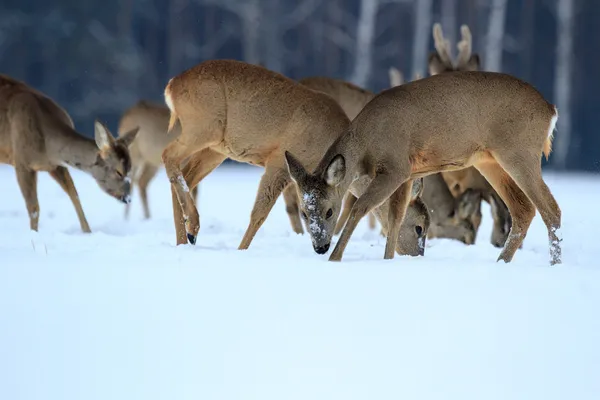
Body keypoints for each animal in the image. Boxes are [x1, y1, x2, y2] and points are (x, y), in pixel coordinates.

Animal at [0, 73, 137, 233]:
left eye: (130, 169)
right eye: (119, 171)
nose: (128, 198)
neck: (48, 146)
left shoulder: (56, 165)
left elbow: (74, 195)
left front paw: (87, 232)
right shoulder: (22, 161)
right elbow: (33, 208)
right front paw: (33, 233)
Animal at [159, 60, 428, 256]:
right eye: (419, 227)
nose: (416, 255)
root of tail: (170, 86)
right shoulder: (278, 159)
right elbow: (259, 213)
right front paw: (241, 251)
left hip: (217, 148)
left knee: (186, 175)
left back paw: (185, 238)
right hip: (203, 126)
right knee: (168, 155)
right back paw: (192, 227)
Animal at [286, 71, 564, 266]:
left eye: (330, 211)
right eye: (305, 212)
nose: (320, 247)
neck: (367, 144)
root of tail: (550, 110)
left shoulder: (396, 166)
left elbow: (360, 207)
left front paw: (335, 259)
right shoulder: (408, 174)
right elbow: (395, 218)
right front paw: (388, 261)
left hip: (520, 152)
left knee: (550, 208)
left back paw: (555, 264)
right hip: (489, 161)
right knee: (524, 209)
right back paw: (502, 262)